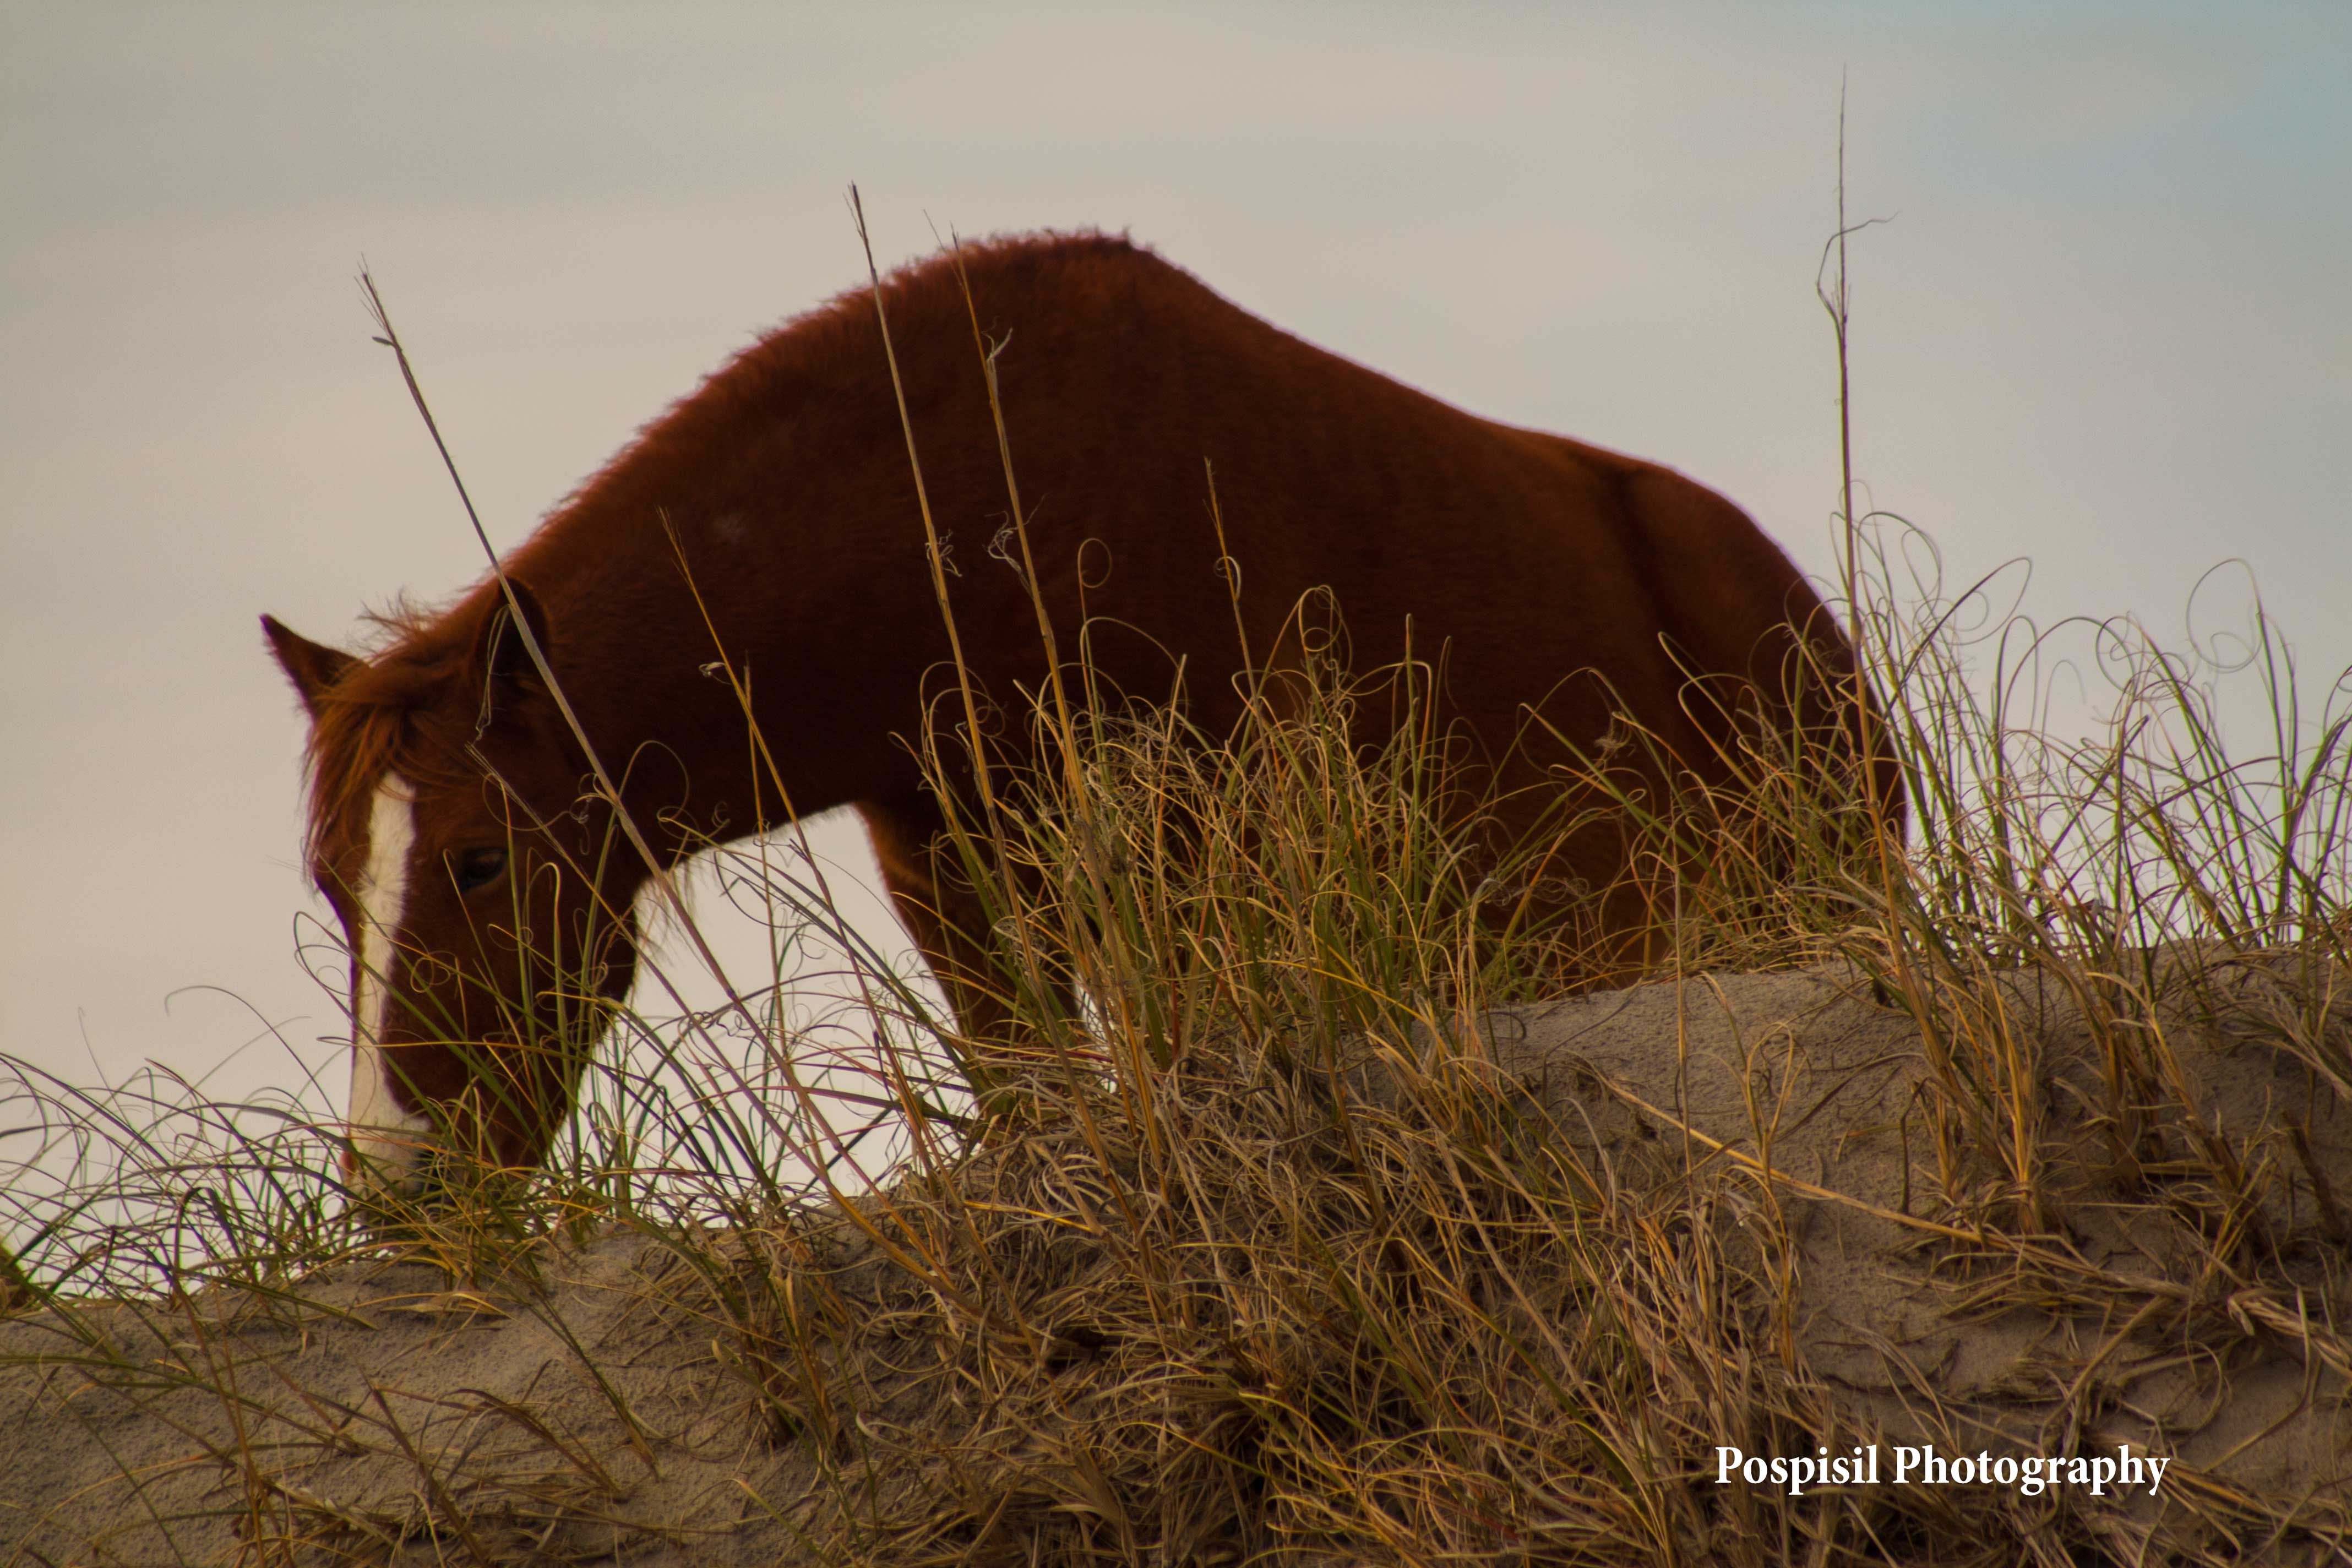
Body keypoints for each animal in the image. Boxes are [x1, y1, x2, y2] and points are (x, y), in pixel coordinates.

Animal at [266, 230, 1900, 1204]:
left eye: (478, 860)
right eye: (336, 887)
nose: (398, 1190)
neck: (971, 506)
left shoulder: (1198, 853)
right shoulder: (950, 861)